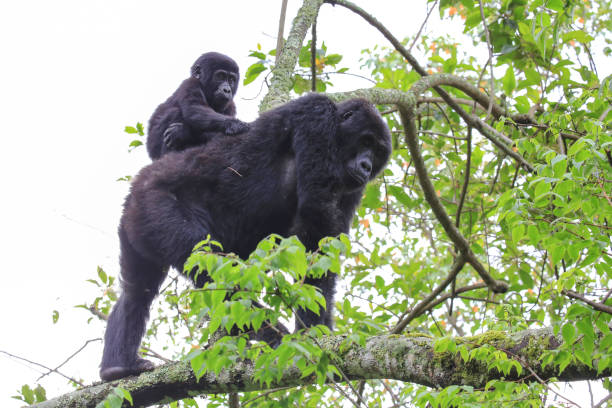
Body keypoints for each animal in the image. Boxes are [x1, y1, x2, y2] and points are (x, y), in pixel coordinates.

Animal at [98, 94, 390, 380]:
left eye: (377, 153)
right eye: (366, 141)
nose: (366, 166)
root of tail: (138, 186)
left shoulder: (353, 188)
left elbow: (327, 244)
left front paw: (318, 328)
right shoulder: (316, 115)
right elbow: (315, 219)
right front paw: (310, 332)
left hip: (136, 224)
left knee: (136, 291)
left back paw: (118, 366)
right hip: (155, 203)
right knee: (210, 266)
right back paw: (266, 331)